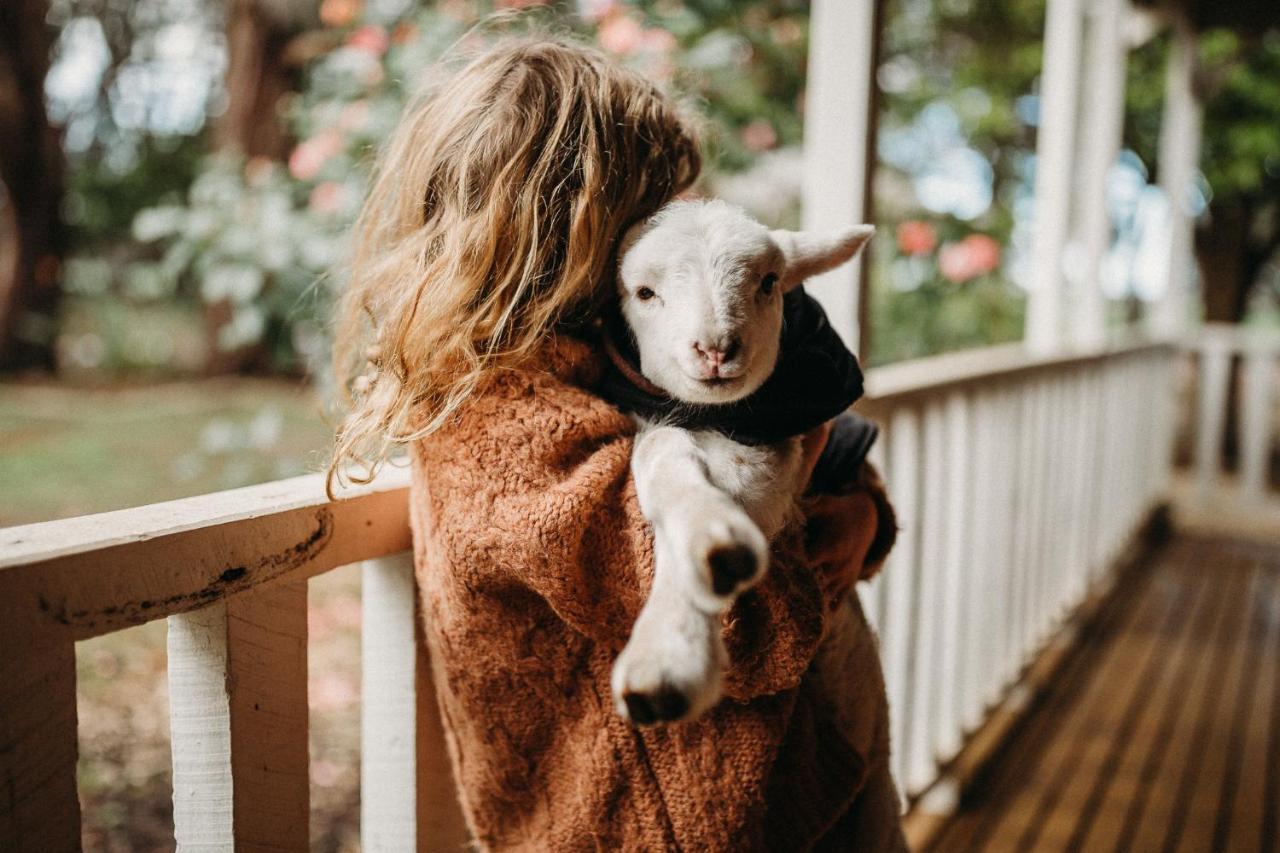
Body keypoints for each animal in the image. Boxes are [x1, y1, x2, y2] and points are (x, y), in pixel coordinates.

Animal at [604, 201, 875, 722]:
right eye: (644, 292)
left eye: (769, 282)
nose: (715, 349)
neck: (717, 416)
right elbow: (659, 449)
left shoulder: (770, 456)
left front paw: (668, 651)